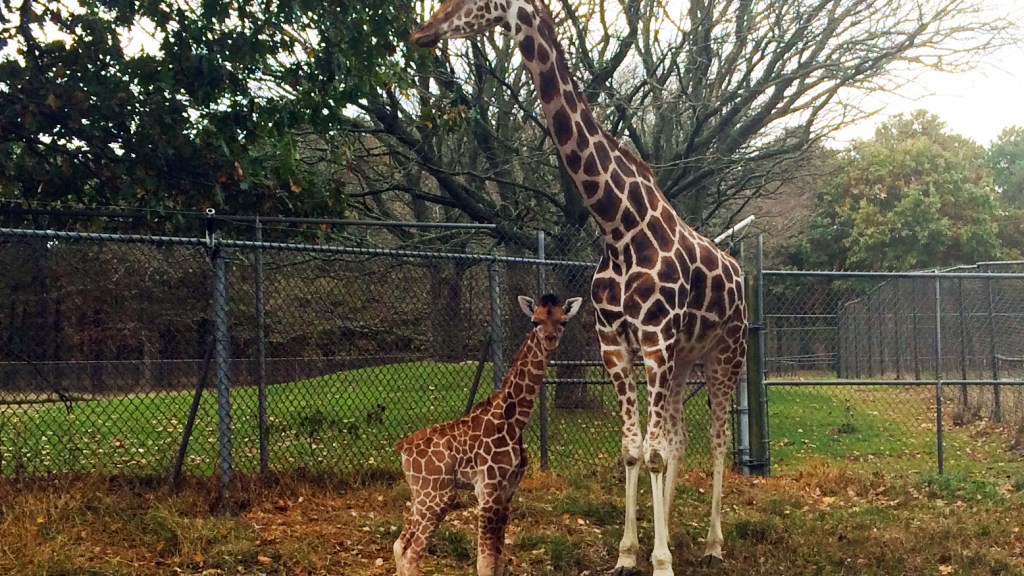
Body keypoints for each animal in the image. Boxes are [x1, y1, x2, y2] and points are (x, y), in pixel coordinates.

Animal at [393, 294, 583, 576]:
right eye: (535, 321)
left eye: (564, 321)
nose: (550, 339)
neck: (515, 423)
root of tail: (404, 447)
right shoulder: (487, 490)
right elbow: (484, 563)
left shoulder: (508, 491)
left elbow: (499, 559)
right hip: (438, 495)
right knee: (411, 555)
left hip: (420, 493)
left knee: (399, 545)